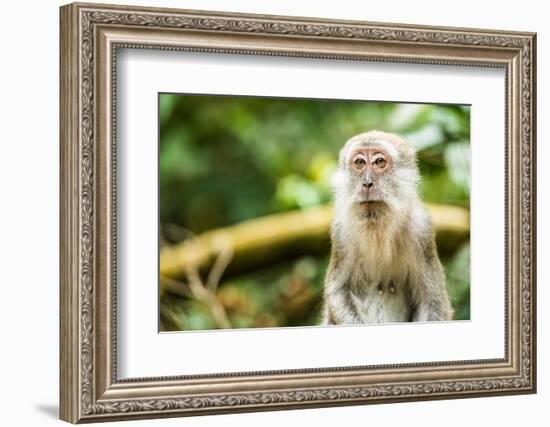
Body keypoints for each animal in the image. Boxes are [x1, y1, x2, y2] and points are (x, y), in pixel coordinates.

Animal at [324, 130, 452, 324]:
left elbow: (432, 301)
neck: (378, 227)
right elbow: (338, 291)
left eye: (379, 162)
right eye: (360, 162)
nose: (367, 183)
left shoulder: (422, 229)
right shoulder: (341, 232)